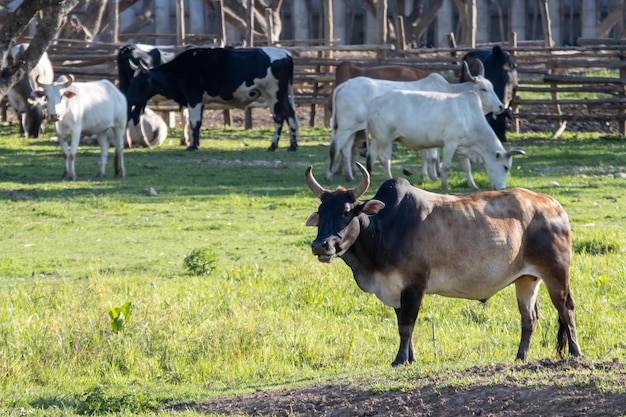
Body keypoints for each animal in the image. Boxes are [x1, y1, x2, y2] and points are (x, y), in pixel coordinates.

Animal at [124, 47, 298, 151]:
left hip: (273, 93)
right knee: (289, 114)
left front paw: (192, 146)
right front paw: (196, 143)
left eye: (138, 83)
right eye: (131, 81)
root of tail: (285, 54)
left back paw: (275, 145)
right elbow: (198, 123)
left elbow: (193, 122)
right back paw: (291, 145)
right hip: (279, 95)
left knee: (279, 117)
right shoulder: (200, 102)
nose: (127, 97)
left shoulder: (193, 98)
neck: (181, 69)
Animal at [326, 63, 502, 182]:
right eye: (483, 89)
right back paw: (330, 175)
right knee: (335, 147)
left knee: (346, 150)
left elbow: (427, 154)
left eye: (493, 87)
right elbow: (432, 156)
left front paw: (428, 174)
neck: (450, 91)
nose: (501, 106)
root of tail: (343, 85)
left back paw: (350, 176)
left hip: (352, 129)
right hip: (345, 127)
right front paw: (433, 175)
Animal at [364, 90, 524, 191]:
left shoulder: (461, 148)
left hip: (377, 139)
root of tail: (375, 101)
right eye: (506, 167)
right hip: (386, 139)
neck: (470, 117)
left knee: (371, 157)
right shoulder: (450, 143)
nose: (502, 188)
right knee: (385, 160)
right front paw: (445, 186)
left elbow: (467, 167)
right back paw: (389, 179)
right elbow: (446, 166)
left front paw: (473, 185)